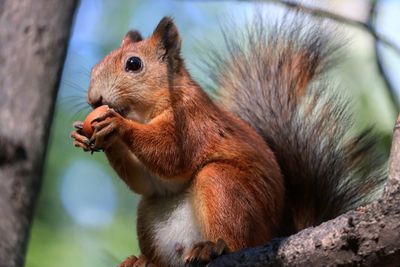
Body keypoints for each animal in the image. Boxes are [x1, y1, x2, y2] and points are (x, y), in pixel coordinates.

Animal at [71, 14, 384, 267]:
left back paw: (212, 248)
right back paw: (144, 261)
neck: (146, 113)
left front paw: (116, 124)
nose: (94, 99)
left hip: (224, 187)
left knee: (233, 235)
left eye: (134, 64)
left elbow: (171, 154)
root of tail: (273, 234)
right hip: (150, 211)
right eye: (96, 65)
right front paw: (87, 134)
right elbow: (148, 181)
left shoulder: (194, 122)